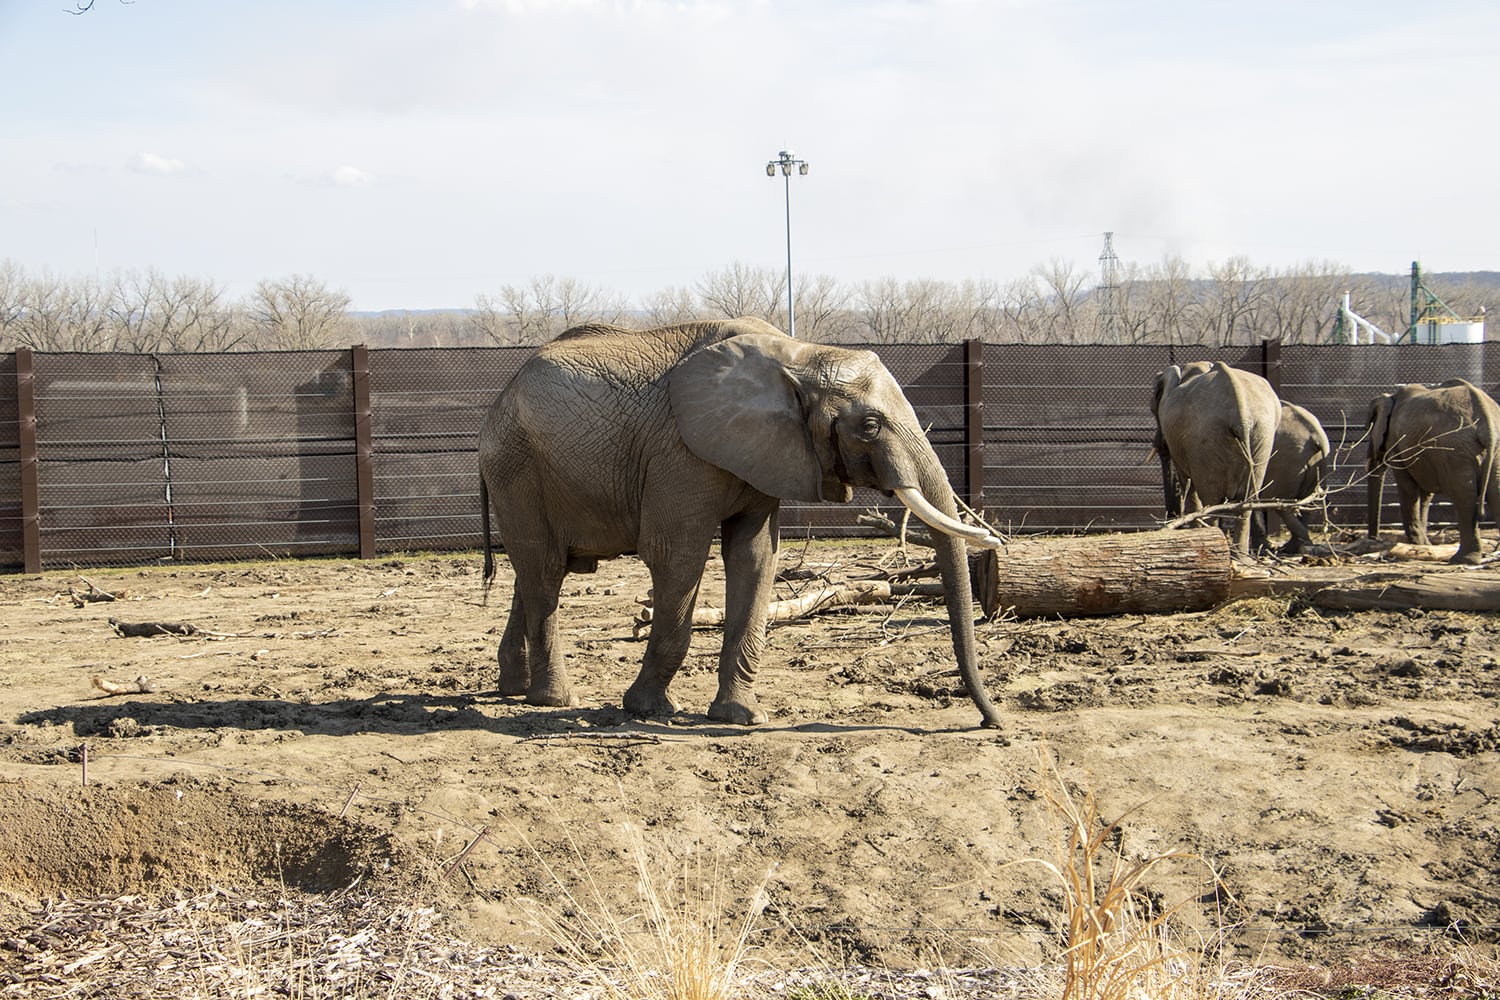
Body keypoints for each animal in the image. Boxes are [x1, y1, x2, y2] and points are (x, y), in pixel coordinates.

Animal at [474, 319, 1002, 728]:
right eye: (870, 427)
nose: (990, 721)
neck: (800, 354)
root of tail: (498, 400)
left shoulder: (765, 453)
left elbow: (755, 556)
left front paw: (741, 718)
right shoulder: (679, 453)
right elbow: (678, 557)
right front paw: (649, 710)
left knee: (537, 571)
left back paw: (513, 690)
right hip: (516, 466)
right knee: (543, 570)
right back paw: (554, 700)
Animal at [1146, 361, 1278, 554]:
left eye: (1152, 409)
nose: (1173, 520)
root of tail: (1242, 416)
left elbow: (1187, 483)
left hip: (1207, 441)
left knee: (1211, 499)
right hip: (1262, 435)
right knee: (1246, 504)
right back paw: (1239, 556)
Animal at [1362, 377, 1500, 563]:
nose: (1375, 539)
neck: (1391, 397)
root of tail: (1487, 421)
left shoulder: (1397, 442)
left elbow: (1408, 488)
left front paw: (1419, 544)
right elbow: (1425, 495)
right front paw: (1425, 545)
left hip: (1456, 450)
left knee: (1465, 496)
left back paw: (1462, 559)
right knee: (1495, 492)